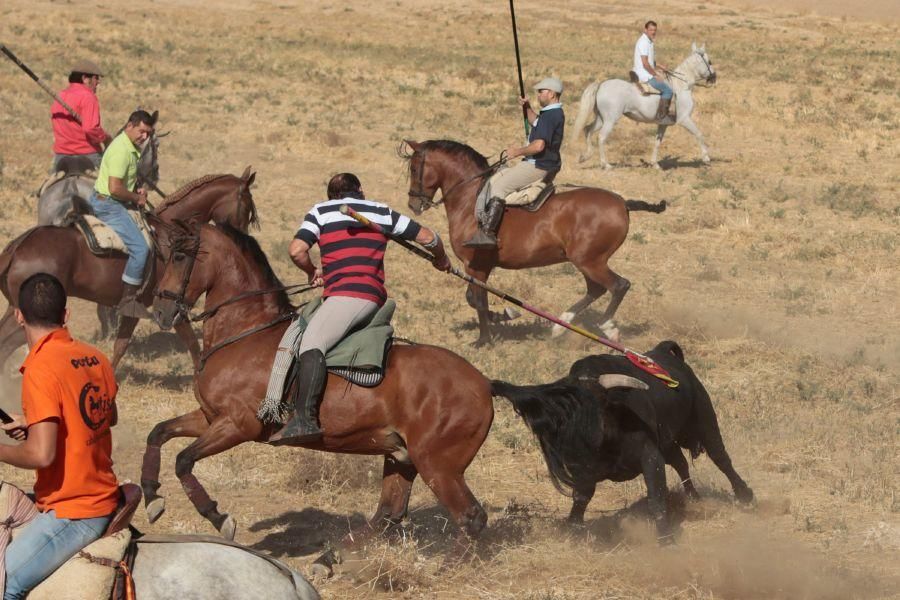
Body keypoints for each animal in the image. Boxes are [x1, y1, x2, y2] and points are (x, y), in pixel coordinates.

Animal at [0, 168, 258, 370]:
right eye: (246, 208)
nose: (242, 241)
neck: (168, 237)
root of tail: (18, 246)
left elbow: (121, 345)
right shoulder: (167, 303)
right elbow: (192, 345)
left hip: (15, 308)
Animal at [146, 221, 492, 564]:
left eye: (178, 256)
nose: (161, 311)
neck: (245, 330)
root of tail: (485, 383)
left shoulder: (237, 425)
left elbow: (183, 460)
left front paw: (219, 518)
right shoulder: (209, 417)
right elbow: (158, 433)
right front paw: (151, 498)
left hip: (437, 465)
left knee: (470, 516)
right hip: (401, 456)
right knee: (389, 513)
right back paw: (331, 558)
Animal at [404, 141, 664, 344]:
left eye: (415, 168)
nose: (413, 205)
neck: (470, 199)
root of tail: (622, 203)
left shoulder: (475, 265)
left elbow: (477, 300)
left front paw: (485, 339)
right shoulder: (481, 267)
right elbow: (476, 299)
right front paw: (504, 316)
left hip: (589, 261)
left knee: (619, 285)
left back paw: (606, 326)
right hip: (588, 261)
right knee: (597, 289)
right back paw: (560, 326)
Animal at [492, 340, 752, 540]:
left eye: (597, 403)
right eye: (561, 414)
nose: (574, 447)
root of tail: (662, 351)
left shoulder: (650, 457)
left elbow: (656, 497)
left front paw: (665, 537)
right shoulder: (584, 472)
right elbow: (581, 498)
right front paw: (573, 528)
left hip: (704, 423)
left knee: (721, 458)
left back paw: (745, 496)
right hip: (668, 443)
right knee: (681, 463)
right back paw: (694, 498)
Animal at [576, 42, 716, 169]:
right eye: (709, 62)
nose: (714, 77)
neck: (682, 86)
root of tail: (601, 85)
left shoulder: (663, 124)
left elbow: (657, 142)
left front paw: (655, 164)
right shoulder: (684, 119)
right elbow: (699, 134)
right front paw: (706, 158)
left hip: (601, 118)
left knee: (588, 130)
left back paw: (585, 156)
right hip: (610, 120)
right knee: (601, 137)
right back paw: (606, 164)